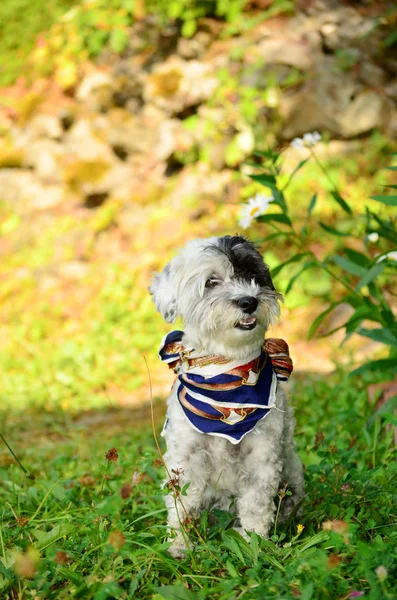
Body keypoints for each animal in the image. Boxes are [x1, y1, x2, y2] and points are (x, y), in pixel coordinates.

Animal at [150, 236, 304, 556]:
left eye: (253, 275)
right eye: (211, 282)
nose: (249, 301)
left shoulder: (262, 454)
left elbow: (256, 506)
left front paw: (253, 544)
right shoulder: (186, 457)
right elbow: (181, 505)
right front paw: (179, 545)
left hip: (292, 473)